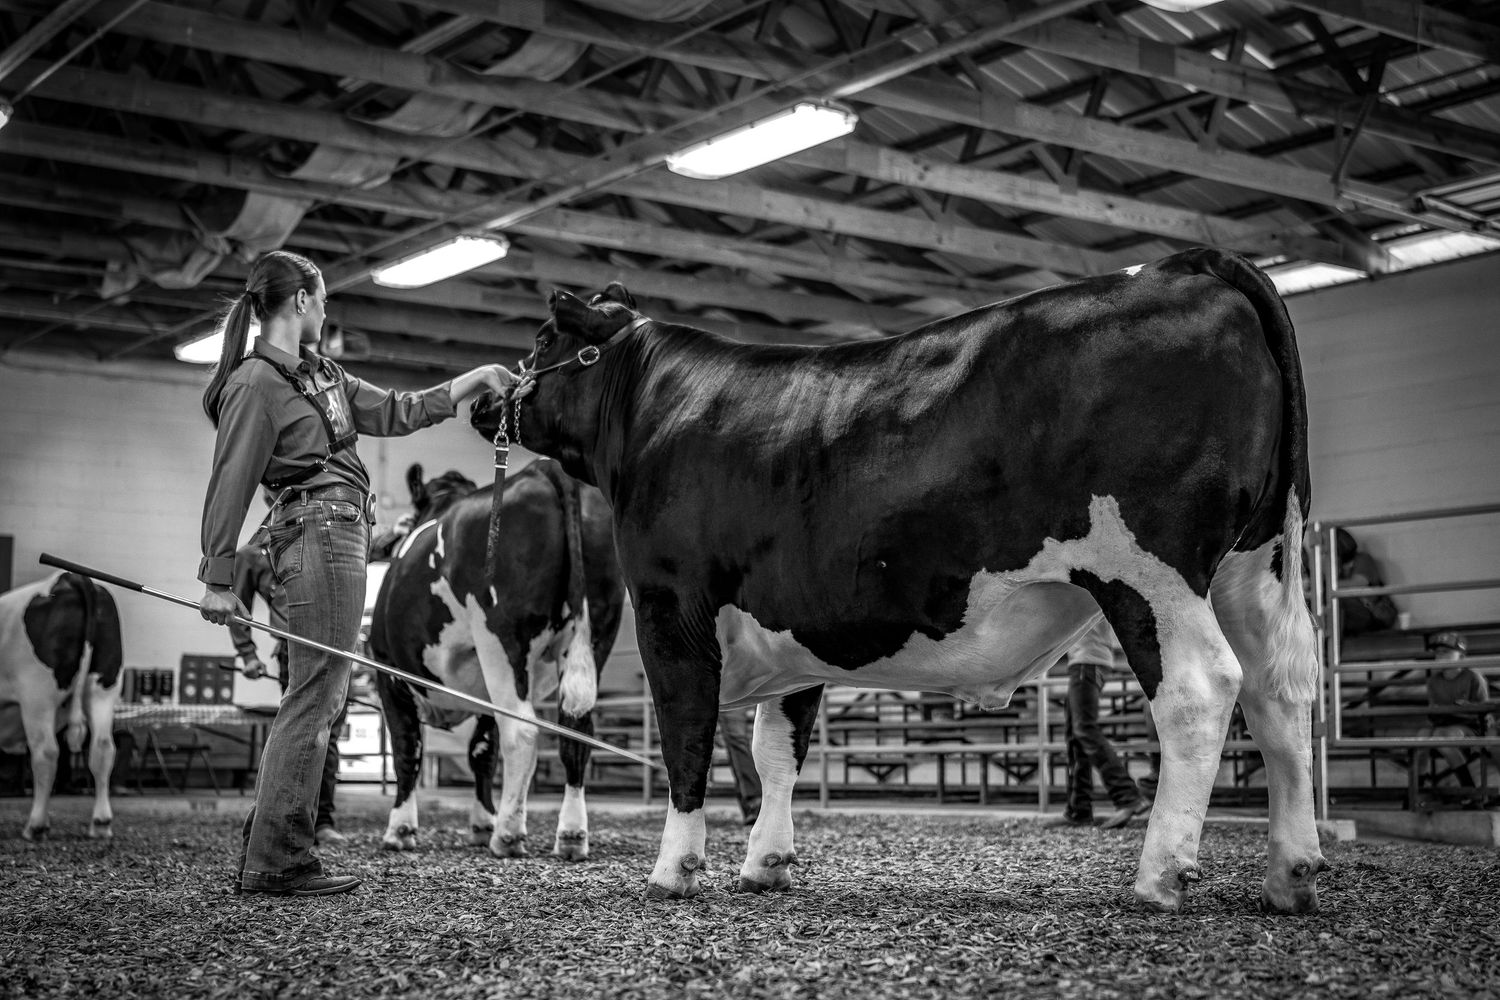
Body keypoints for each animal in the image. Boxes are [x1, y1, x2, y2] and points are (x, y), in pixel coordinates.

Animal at [0, 571, 124, 840]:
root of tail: (70, 577)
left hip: (37, 693)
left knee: (45, 752)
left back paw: (36, 826)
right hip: (103, 687)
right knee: (103, 748)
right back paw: (101, 823)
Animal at [369, 458, 625, 860]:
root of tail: (547, 470)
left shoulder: (389, 672)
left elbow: (407, 748)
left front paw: (401, 829)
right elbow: (482, 753)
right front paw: (481, 821)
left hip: (501, 641)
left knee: (521, 731)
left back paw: (508, 834)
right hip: (597, 631)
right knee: (576, 731)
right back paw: (570, 834)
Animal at [470, 247, 1324, 914]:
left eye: (542, 338)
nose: (482, 402)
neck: (651, 407)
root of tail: (1185, 264)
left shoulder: (670, 604)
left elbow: (688, 731)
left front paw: (674, 868)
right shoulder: (796, 619)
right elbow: (778, 744)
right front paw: (766, 862)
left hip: (1149, 570)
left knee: (1200, 690)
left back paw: (1161, 873)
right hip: (1255, 562)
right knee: (1280, 690)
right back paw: (1292, 873)